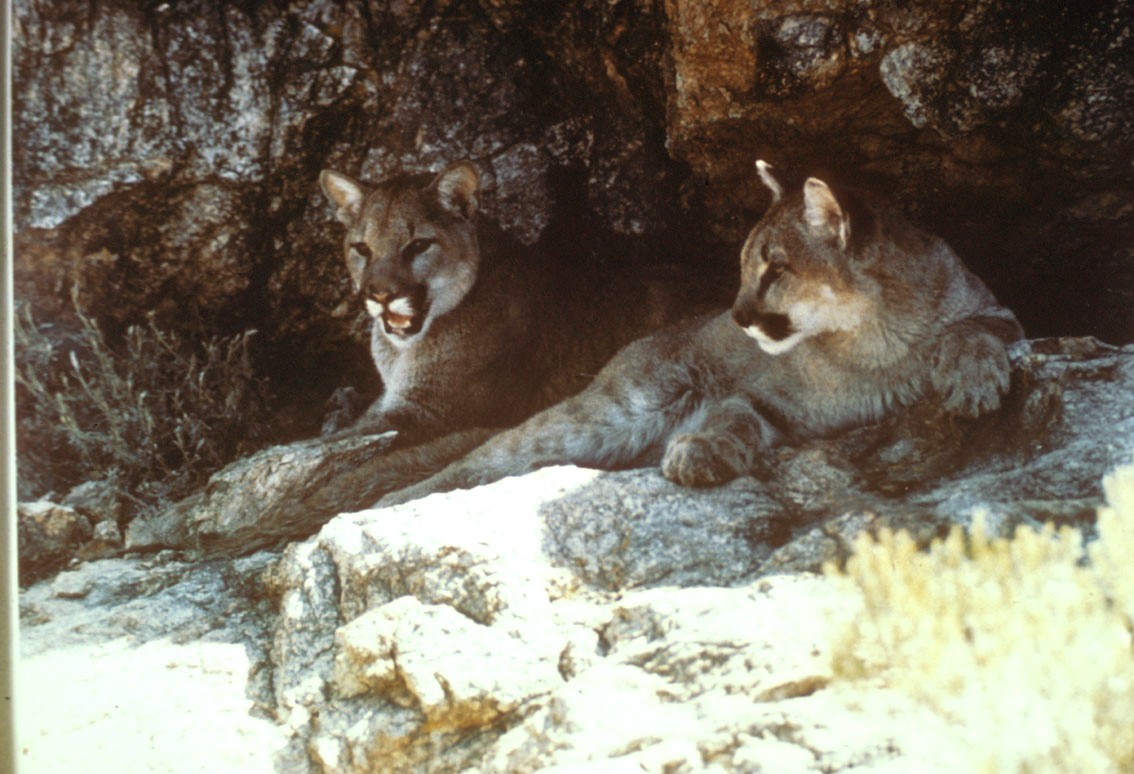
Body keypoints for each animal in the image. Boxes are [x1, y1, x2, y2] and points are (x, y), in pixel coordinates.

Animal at [378, 160, 1020, 505]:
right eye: (743, 264)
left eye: (776, 268)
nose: (736, 316)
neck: (867, 339)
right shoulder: (761, 396)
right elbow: (736, 413)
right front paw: (700, 452)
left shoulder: (999, 311)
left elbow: (972, 331)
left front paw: (973, 383)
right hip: (612, 410)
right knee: (486, 456)